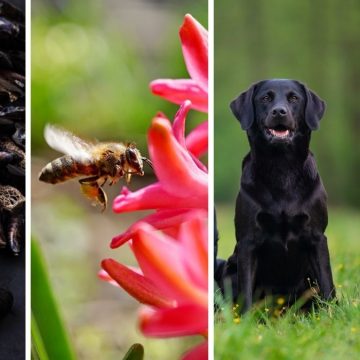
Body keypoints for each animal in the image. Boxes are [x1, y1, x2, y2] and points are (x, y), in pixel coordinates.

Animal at [219, 79, 334, 312]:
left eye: (294, 98)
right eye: (265, 98)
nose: (279, 111)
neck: (282, 169)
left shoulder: (317, 236)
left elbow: (328, 283)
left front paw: (330, 314)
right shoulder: (247, 242)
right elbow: (246, 291)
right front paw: (245, 319)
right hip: (230, 268)